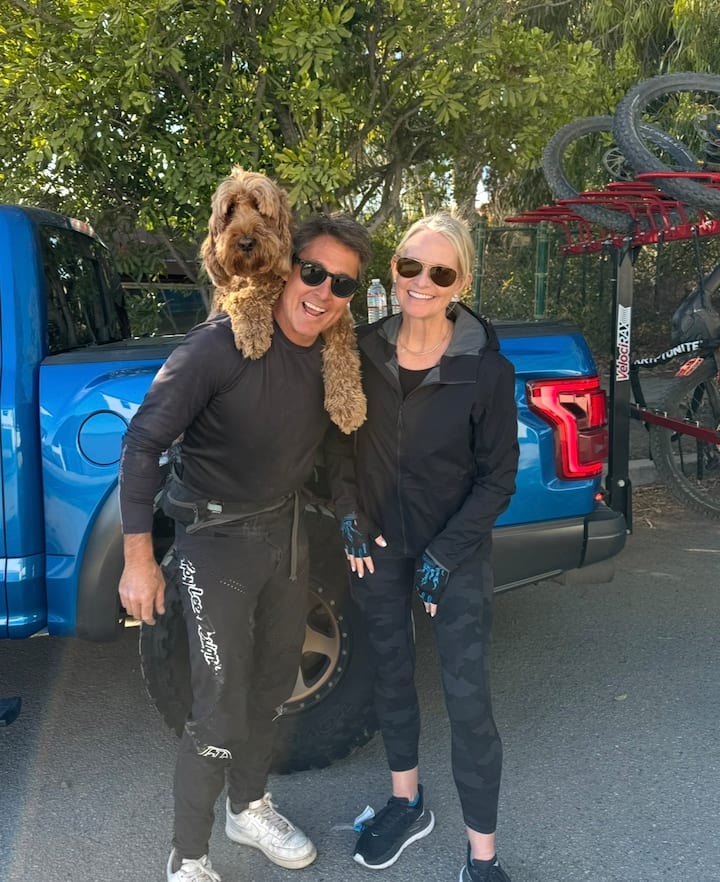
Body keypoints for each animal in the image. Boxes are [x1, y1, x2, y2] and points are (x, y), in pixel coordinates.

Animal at [200, 167, 366, 434]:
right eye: (231, 210)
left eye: (259, 208)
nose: (245, 242)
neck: (251, 274)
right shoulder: (227, 296)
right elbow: (241, 296)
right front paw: (253, 333)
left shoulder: (340, 318)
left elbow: (342, 352)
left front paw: (348, 403)